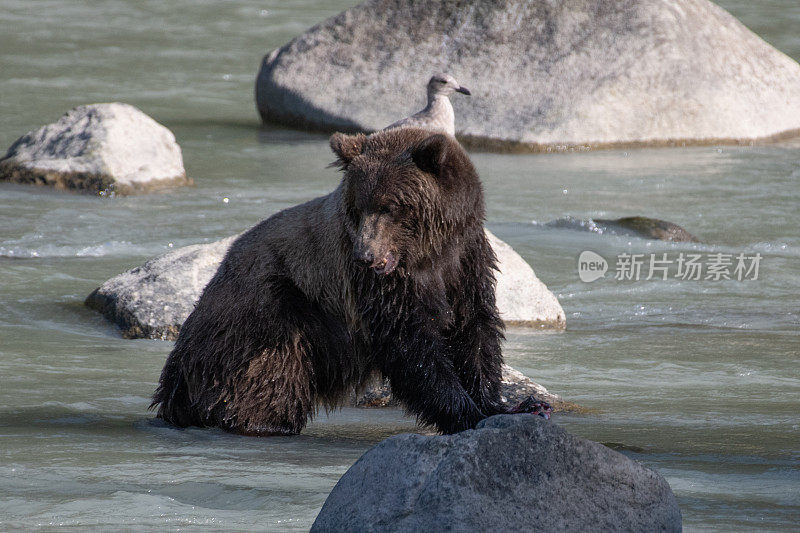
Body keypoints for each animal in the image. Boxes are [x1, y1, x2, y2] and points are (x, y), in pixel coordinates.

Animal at [152, 127, 548, 434]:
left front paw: (508, 404)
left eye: (391, 206)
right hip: (267, 311)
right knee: (269, 376)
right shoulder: (379, 284)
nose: (366, 256)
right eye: (357, 208)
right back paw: (265, 423)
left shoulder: (466, 262)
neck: (428, 253)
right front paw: (465, 412)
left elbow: (475, 331)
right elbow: (411, 343)